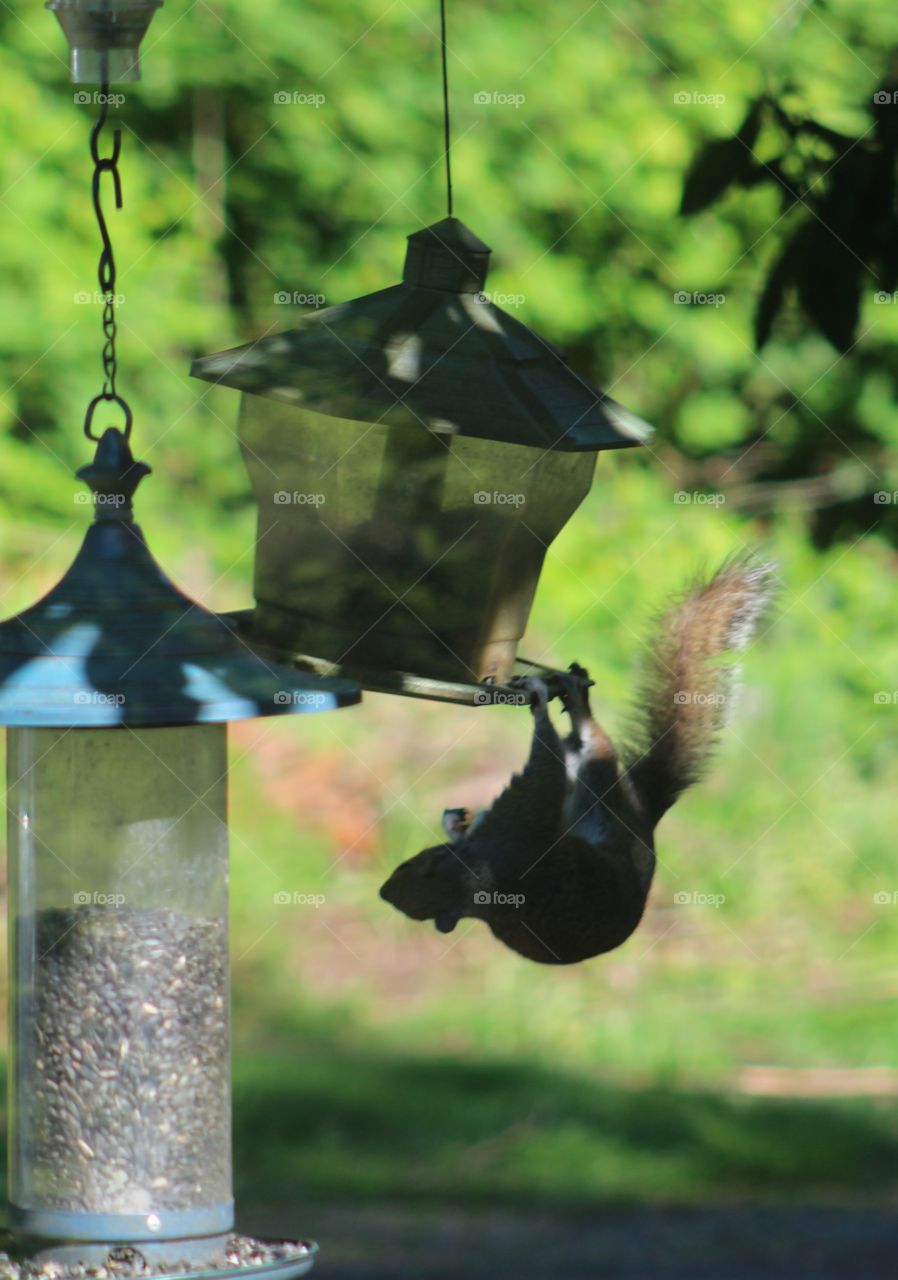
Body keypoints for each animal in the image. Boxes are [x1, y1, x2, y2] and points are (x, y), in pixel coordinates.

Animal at [379, 556, 775, 965]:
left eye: (408, 864)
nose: (383, 891)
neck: (479, 880)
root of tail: (644, 818)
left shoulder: (519, 817)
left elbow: (543, 764)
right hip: (595, 791)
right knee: (585, 746)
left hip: (596, 789)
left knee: (587, 744)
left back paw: (573, 698)